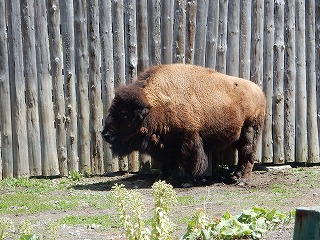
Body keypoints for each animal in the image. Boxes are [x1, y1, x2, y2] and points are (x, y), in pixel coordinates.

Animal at [101, 63, 266, 182]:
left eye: (124, 114)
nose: (106, 135)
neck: (156, 103)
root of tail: (259, 92)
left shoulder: (188, 139)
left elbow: (189, 160)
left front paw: (188, 179)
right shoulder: (165, 145)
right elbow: (166, 162)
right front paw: (161, 178)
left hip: (250, 130)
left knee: (248, 153)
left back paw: (242, 179)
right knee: (244, 154)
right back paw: (235, 176)